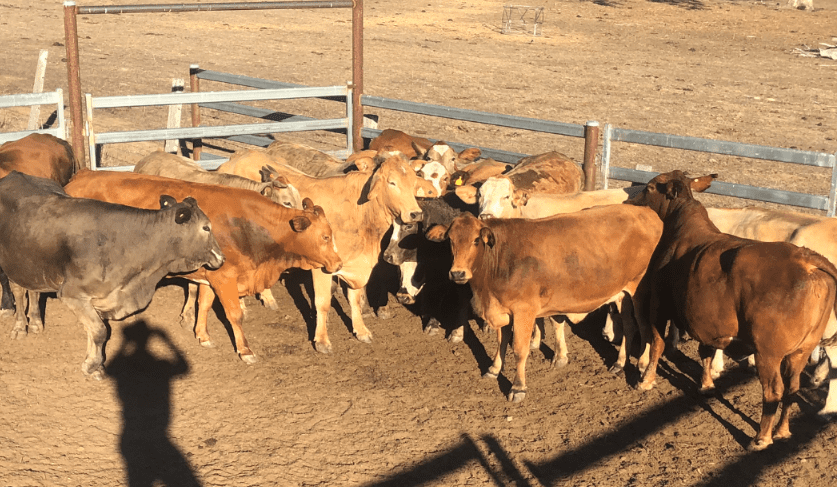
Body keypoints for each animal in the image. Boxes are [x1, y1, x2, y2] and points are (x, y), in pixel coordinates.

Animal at [0, 171, 225, 379]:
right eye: (206, 227)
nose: (221, 258)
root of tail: (14, 175)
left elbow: (96, 332)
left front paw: (95, 363)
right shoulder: (72, 295)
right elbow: (100, 331)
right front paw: (91, 366)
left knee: (33, 291)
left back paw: (36, 322)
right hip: (12, 264)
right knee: (18, 291)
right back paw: (20, 327)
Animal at [64, 170, 342, 364]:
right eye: (325, 237)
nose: (338, 263)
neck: (249, 225)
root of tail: (82, 175)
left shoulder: (211, 277)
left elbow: (204, 304)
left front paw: (203, 335)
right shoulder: (225, 278)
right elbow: (235, 315)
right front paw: (245, 351)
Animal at [216, 152, 424, 353]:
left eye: (414, 182)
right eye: (392, 182)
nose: (416, 213)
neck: (360, 215)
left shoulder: (356, 264)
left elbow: (355, 300)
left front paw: (361, 330)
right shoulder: (322, 266)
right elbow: (323, 303)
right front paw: (322, 340)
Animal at [427, 205, 664, 402]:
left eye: (476, 240)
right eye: (450, 240)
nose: (457, 273)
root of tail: (649, 213)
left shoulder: (524, 310)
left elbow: (519, 349)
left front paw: (518, 387)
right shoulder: (502, 309)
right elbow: (501, 342)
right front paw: (494, 369)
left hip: (639, 291)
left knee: (644, 328)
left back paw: (643, 368)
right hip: (622, 294)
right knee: (629, 327)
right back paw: (619, 363)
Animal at [627, 170, 837, 451]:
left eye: (650, 187)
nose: (631, 201)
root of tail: (809, 261)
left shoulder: (660, 305)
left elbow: (657, 345)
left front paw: (646, 380)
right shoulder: (706, 321)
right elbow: (705, 351)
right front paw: (706, 384)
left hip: (768, 353)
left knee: (774, 391)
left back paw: (762, 437)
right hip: (801, 350)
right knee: (792, 389)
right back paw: (783, 430)